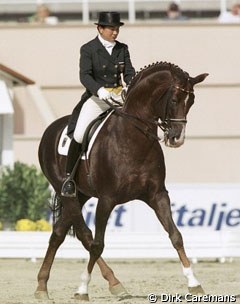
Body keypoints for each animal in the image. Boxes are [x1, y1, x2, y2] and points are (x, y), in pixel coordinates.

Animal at [34, 61, 207, 300]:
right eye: (173, 99)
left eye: (191, 101)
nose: (177, 138)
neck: (134, 137)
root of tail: (51, 129)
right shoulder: (106, 200)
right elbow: (97, 244)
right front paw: (82, 289)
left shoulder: (157, 195)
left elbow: (175, 235)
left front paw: (194, 283)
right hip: (65, 190)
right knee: (85, 235)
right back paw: (108, 284)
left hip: (81, 194)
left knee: (59, 232)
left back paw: (43, 286)